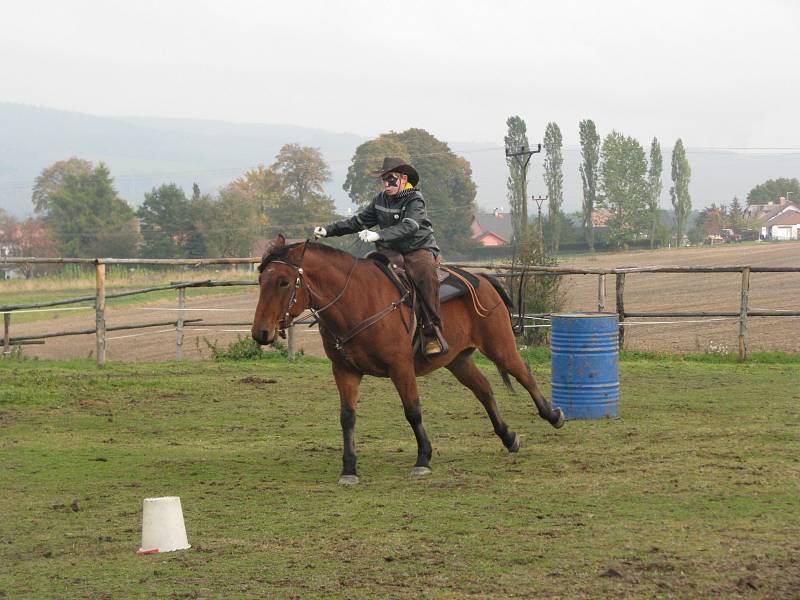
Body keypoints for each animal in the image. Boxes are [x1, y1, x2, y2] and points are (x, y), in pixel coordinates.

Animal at [250, 233, 564, 482]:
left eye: (283, 282)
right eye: (261, 279)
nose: (260, 332)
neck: (357, 301)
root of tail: (483, 280)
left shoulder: (401, 367)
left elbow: (412, 411)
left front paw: (423, 459)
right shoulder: (344, 370)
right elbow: (347, 417)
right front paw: (349, 469)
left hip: (499, 346)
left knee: (523, 373)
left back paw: (554, 415)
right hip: (458, 360)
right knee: (484, 389)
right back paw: (508, 437)